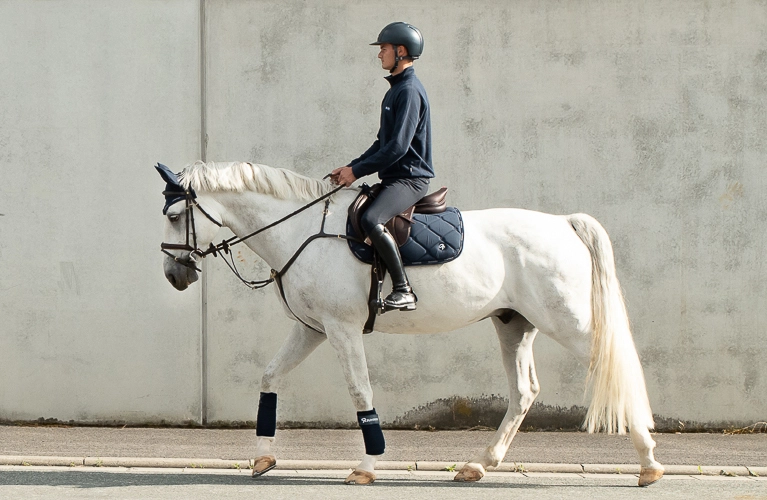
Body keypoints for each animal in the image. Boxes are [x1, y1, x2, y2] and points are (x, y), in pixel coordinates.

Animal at [157, 160, 664, 487]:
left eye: (175, 215)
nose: (175, 275)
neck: (303, 233)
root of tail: (562, 222)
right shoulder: (313, 329)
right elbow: (269, 376)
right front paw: (263, 457)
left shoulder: (341, 329)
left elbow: (360, 392)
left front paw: (366, 467)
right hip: (513, 324)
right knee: (524, 392)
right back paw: (479, 465)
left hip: (568, 322)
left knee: (616, 368)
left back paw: (648, 463)